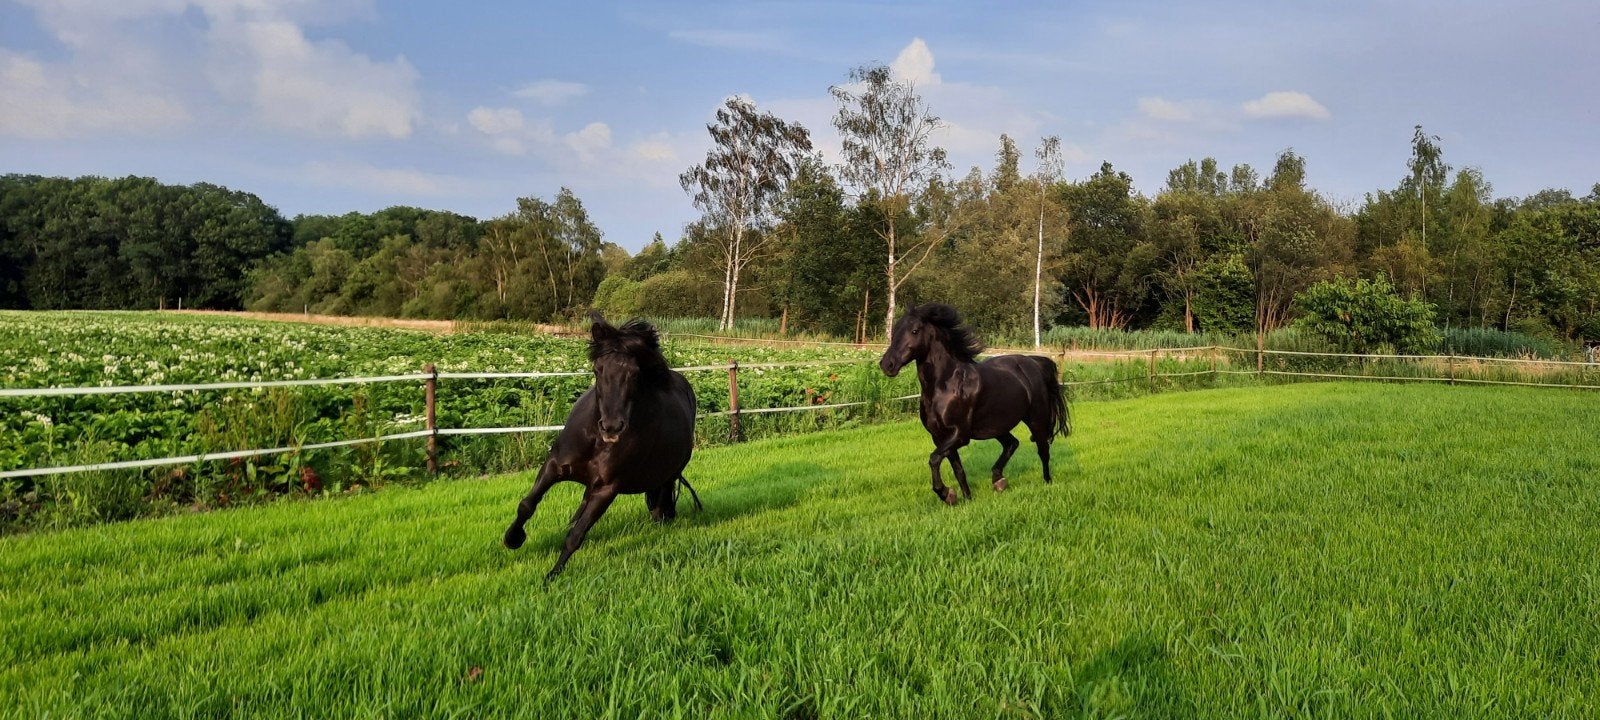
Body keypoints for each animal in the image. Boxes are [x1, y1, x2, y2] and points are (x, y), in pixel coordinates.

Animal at [502, 313, 701, 579]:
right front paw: (513, 539)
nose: (612, 427)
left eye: (635, 373)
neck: (596, 441)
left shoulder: (607, 488)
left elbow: (576, 535)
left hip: (668, 475)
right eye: (598, 369)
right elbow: (527, 505)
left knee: (659, 508)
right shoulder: (554, 466)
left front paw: (552, 576)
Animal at [878, 303, 1070, 505]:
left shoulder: (960, 435)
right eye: (895, 330)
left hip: (1036, 419)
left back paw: (1047, 482)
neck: (944, 387)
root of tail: (1035, 362)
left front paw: (946, 493)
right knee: (1012, 443)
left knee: (1043, 450)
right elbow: (957, 469)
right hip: (997, 425)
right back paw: (998, 481)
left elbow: (934, 458)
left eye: (914, 331)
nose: (887, 364)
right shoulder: (940, 437)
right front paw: (965, 498)